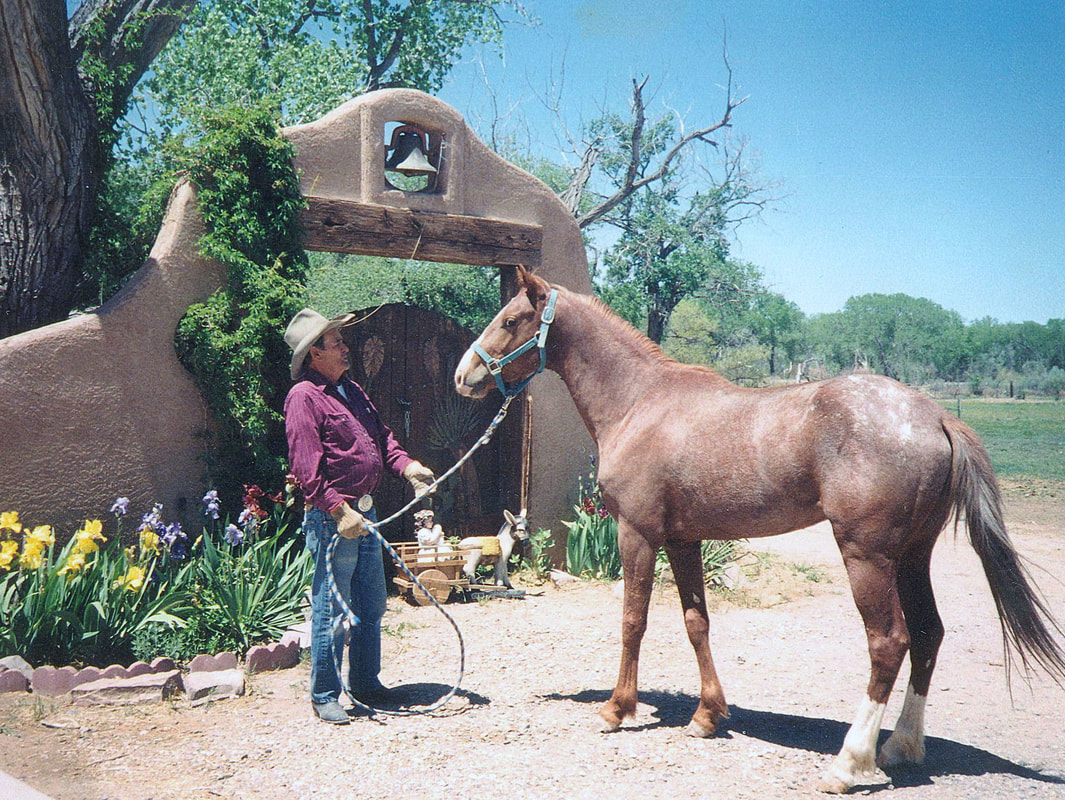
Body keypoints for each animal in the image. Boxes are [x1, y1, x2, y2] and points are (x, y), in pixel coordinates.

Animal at [451, 266, 1065, 792]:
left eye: (511, 319)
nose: (464, 375)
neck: (639, 401)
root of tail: (935, 415)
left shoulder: (637, 533)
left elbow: (633, 620)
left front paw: (616, 709)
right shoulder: (684, 540)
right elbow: (696, 622)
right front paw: (707, 716)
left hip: (867, 557)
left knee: (890, 642)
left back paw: (848, 764)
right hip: (914, 555)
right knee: (930, 634)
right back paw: (900, 748)